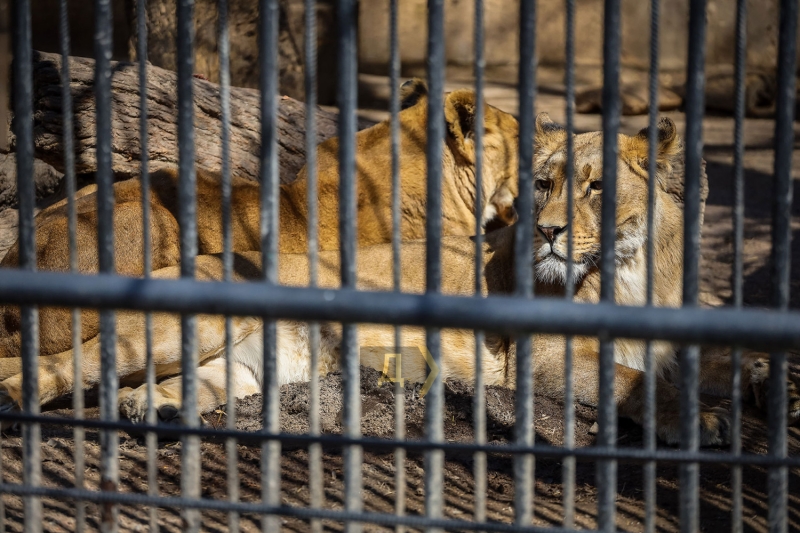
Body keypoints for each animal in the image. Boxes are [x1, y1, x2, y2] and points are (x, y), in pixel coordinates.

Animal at [1, 113, 792, 444]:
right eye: (543, 184)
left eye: (596, 187)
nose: (546, 230)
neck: (630, 272)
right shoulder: (541, 357)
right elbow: (635, 382)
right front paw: (704, 418)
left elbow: (713, 358)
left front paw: (768, 382)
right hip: (163, 330)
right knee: (67, 363)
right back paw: (18, 395)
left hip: (244, 364)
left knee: (168, 385)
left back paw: (153, 410)